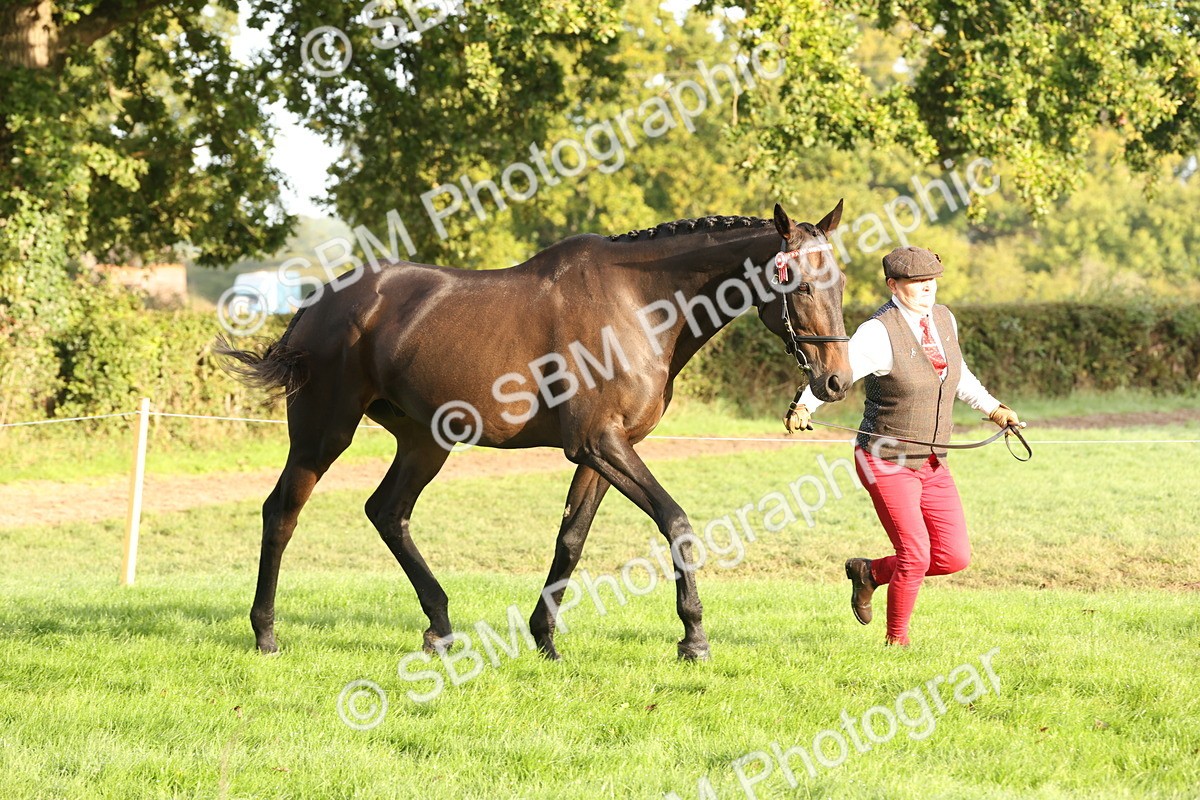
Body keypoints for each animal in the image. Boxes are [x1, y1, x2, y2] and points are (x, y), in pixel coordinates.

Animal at [218, 201, 851, 661]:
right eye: (797, 283)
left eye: (839, 283)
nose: (836, 380)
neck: (640, 304)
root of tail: (318, 302)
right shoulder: (600, 445)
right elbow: (675, 522)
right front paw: (693, 638)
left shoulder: (603, 452)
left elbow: (570, 539)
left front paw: (544, 636)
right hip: (324, 433)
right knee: (282, 512)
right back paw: (266, 634)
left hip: (425, 441)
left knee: (388, 513)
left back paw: (440, 627)